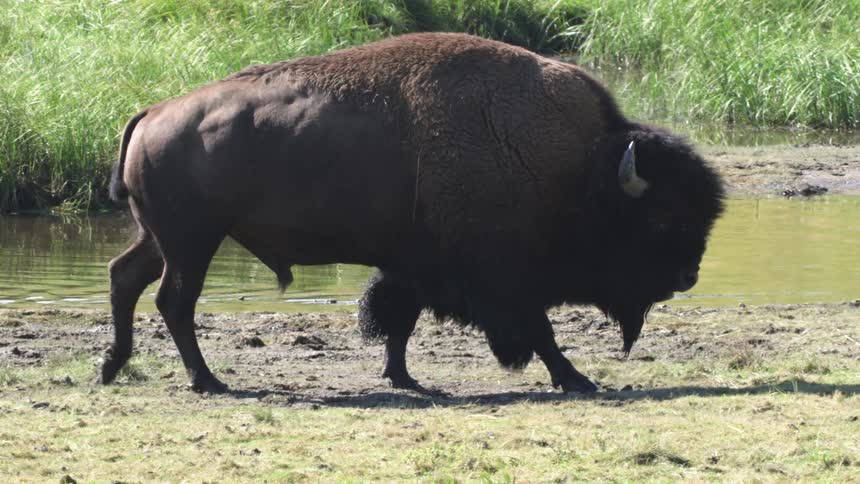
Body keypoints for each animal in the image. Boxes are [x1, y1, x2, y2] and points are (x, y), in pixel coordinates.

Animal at [100, 33, 724, 394]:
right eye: (660, 220)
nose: (689, 275)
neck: (576, 168)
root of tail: (153, 112)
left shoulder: (415, 264)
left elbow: (398, 321)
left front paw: (405, 379)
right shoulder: (501, 275)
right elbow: (539, 330)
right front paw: (577, 379)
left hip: (159, 236)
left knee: (124, 278)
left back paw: (113, 366)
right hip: (192, 241)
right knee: (174, 300)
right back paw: (207, 381)